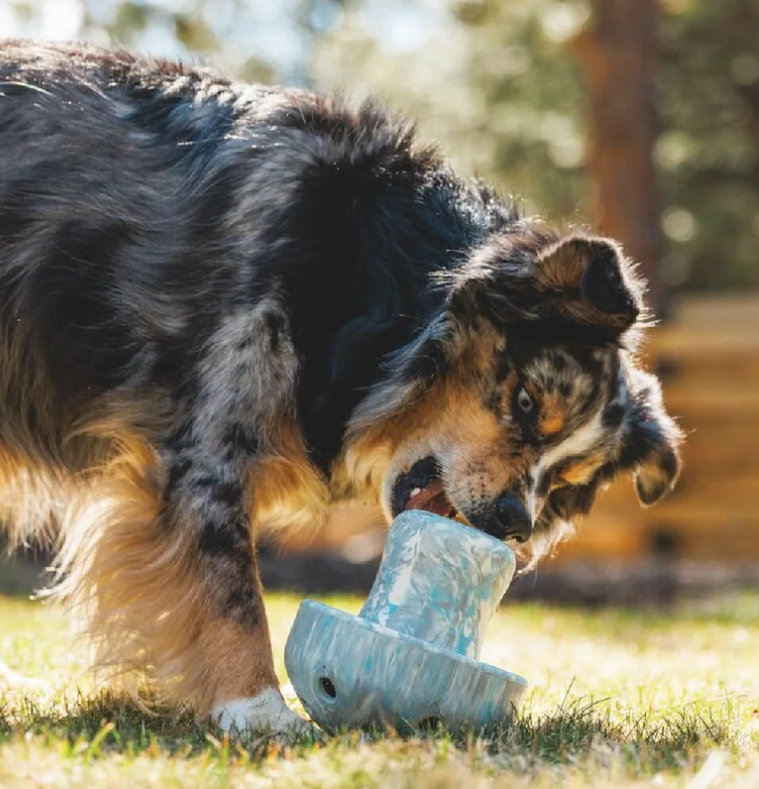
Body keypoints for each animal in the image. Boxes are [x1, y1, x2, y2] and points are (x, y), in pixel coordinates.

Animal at [0, 41, 684, 732]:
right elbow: (231, 586)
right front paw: (259, 710)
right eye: (524, 403)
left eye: (565, 481)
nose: (515, 525)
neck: (380, 281)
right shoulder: (207, 441)